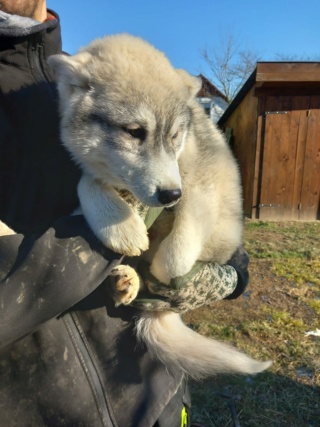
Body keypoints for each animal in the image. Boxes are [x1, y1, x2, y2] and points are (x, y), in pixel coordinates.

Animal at [48, 35, 272, 380]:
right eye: (134, 132)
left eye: (175, 135)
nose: (170, 195)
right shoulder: (93, 170)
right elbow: (87, 184)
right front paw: (120, 225)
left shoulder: (204, 177)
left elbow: (182, 240)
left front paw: (167, 268)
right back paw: (125, 281)